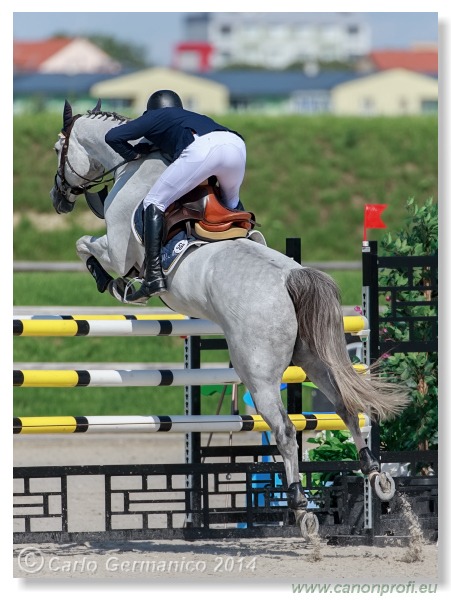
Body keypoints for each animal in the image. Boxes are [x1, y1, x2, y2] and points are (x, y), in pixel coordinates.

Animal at [50, 101, 414, 540]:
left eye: (58, 149)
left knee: (286, 430)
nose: (58, 199)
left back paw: (301, 509)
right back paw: (377, 477)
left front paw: (117, 284)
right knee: (345, 406)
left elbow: (84, 246)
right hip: (311, 358)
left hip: (257, 371)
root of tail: (292, 277)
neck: (133, 167)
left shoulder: (118, 249)